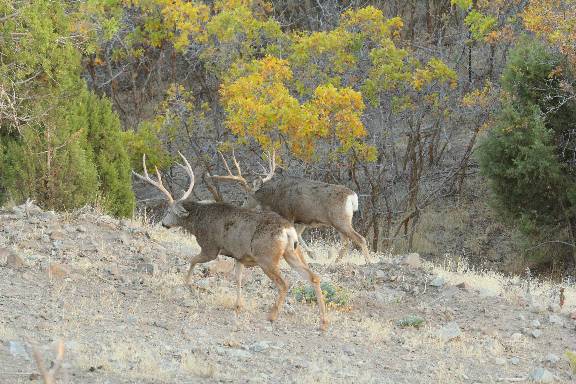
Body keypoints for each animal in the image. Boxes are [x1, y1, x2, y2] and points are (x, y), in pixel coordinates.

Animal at [132, 152, 326, 330]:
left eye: (169, 211)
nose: (163, 223)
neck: (198, 221)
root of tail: (288, 231)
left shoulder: (210, 247)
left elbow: (192, 260)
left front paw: (189, 286)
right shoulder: (240, 257)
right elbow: (238, 278)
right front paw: (238, 306)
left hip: (267, 258)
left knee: (284, 284)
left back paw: (271, 316)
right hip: (292, 252)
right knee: (314, 277)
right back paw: (323, 322)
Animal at [210, 150, 368, 264]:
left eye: (245, 197)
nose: (243, 207)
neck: (273, 198)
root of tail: (352, 196)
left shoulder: (288, 214)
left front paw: (309, 255)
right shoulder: (301, 220)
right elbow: (298, 236)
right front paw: (312, 254)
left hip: (340, 219)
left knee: (360, 239)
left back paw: (368, 262)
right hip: (339, 222)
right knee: (346, 242)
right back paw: (334, 262)